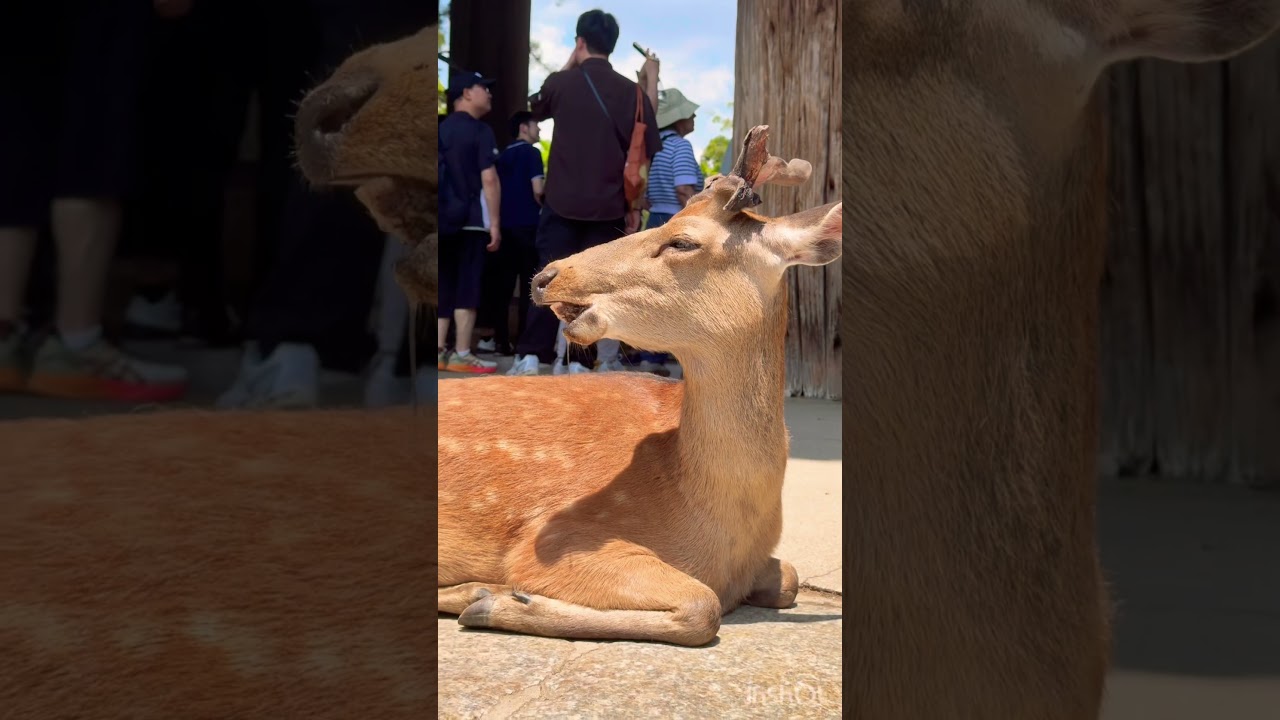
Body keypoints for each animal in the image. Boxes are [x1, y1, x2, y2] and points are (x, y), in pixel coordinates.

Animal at [437, 125, 841, 647]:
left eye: (682, 242)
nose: (546, 275)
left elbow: (787, 578)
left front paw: (485, 596)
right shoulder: (554, 537)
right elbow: (703, 604)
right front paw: (495, 598)